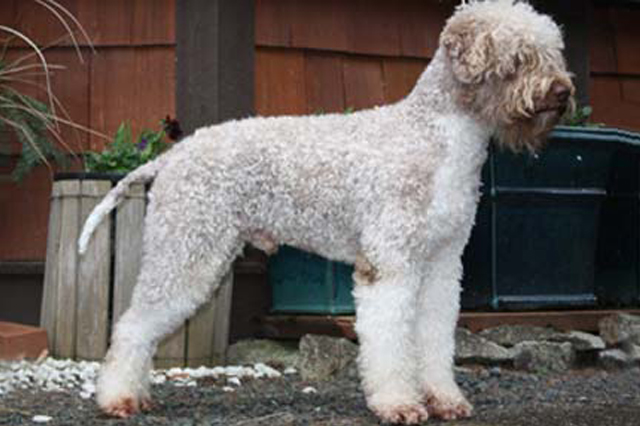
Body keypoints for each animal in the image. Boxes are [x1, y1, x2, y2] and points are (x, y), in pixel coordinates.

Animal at [79, 1, 576, 422]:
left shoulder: (441, 263)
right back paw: (118, 398)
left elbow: (434, 336)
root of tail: (173, 155)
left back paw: (136, 395)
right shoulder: (389, 264)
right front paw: (399, 404)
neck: (435, 138)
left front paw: (445, 400)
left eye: (553, 51)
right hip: (186, 251)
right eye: (518, 56)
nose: (563, 91)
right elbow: (390, 341)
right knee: (132, 327)